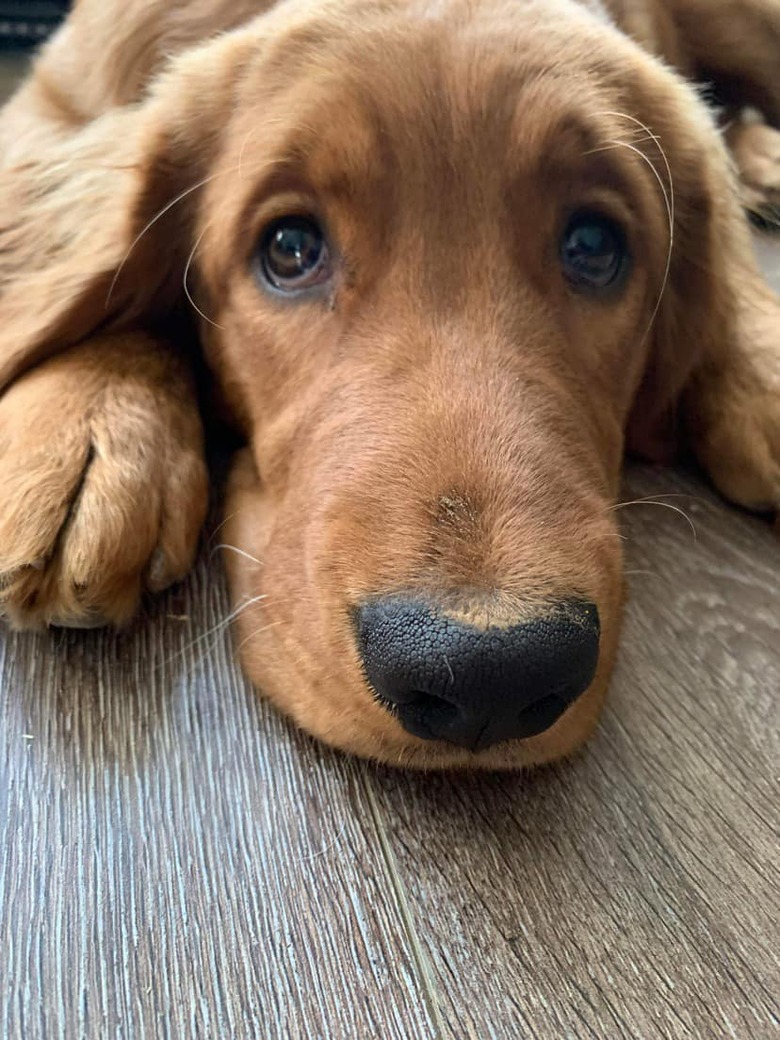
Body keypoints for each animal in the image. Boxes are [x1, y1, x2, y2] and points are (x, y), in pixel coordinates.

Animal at [0, 0, 777, 765]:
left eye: (593, 247)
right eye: (289, 248)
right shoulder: (50, 105)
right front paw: (89, 422)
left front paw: (755, 361)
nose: (489, 676)